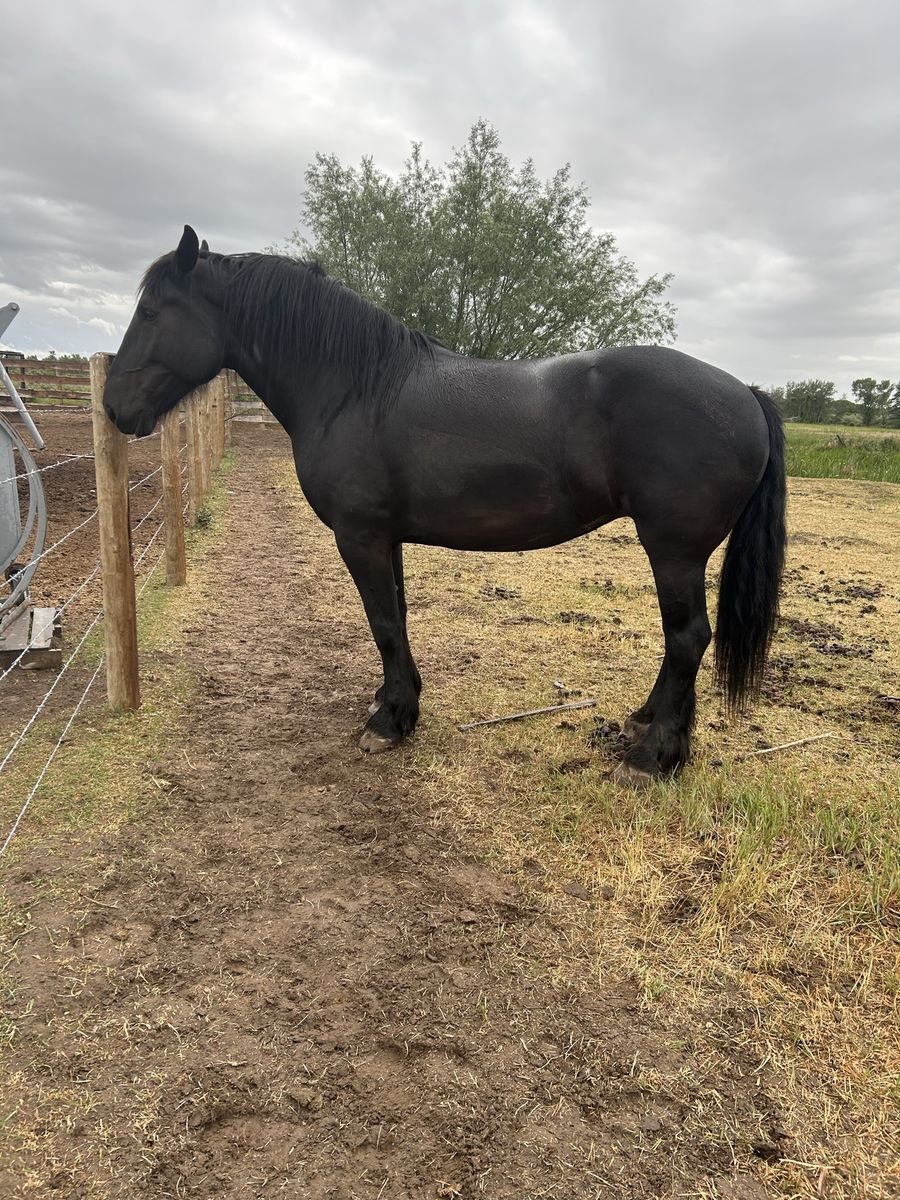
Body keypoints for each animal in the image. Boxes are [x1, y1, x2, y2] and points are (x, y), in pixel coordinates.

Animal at [104, 226, 786, 786]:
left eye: (150, 310)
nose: (114, 407)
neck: (354, 388)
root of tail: (745, 393)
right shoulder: (387, 538)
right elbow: (397, 619)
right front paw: (395, 703)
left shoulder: (360, 536)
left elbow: (382, 622)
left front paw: (389, 723)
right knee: (681, 644)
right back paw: (648, 725)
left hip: (673, 550)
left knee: (687, 638)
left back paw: (650, 758)